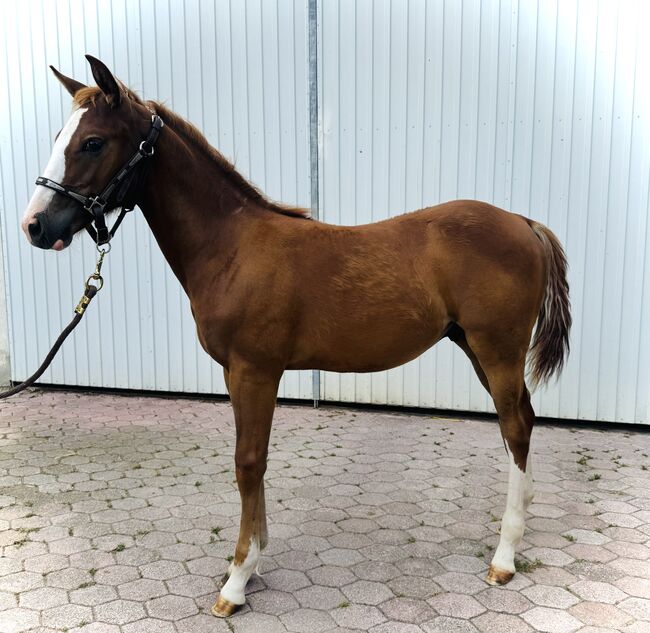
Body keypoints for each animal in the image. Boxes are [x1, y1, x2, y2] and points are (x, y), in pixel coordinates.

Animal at [20, 56, 568, 616]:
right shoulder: (237, 373)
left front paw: (237, 581)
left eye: (92, 142)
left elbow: (248, 462)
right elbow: (254, 463)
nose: (35, 225)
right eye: (60, 136)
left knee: (515, 428)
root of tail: (522, 222)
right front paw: (253, 564)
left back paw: (504, 557)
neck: (230, 247)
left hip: (496, 350)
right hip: (476, 348)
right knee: (522, 420)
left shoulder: (255, 371)